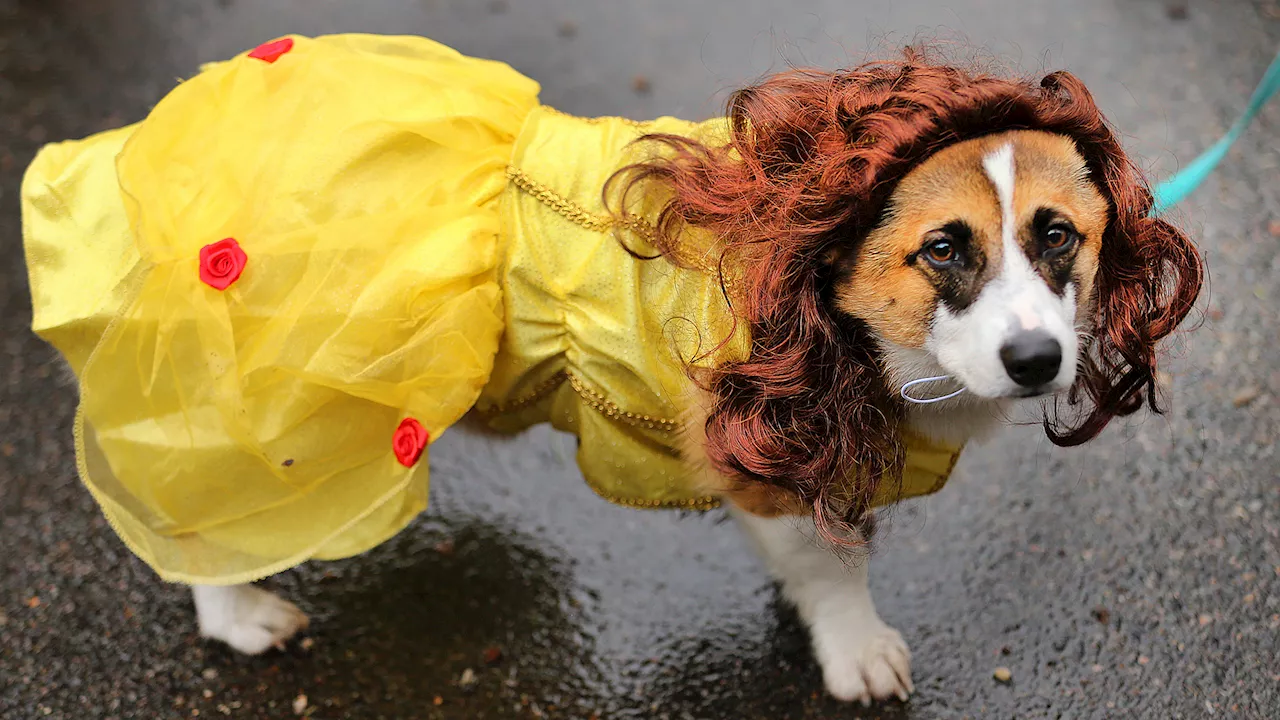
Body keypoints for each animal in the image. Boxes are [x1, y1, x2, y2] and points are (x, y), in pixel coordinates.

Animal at [17, 35, 1198, 702]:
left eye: (1057, 237)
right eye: (944, 248)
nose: (1037, 360)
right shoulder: (769, 463)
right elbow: (832, 572)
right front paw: (854, 647)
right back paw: (239, 613)